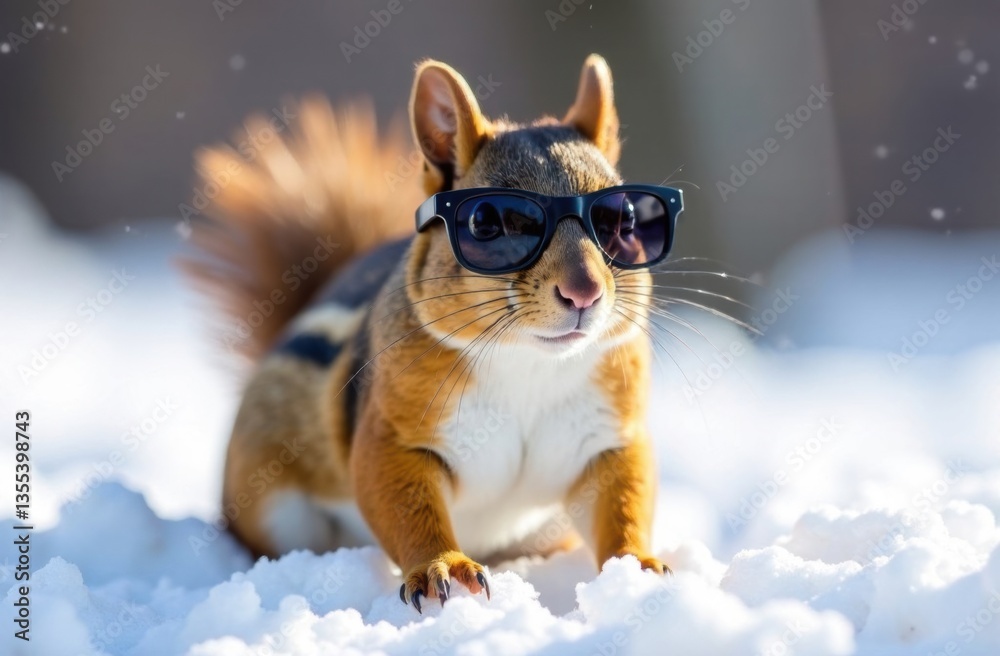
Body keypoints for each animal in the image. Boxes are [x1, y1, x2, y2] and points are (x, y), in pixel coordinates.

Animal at [184, 54, 674, 612]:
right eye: (486, 222)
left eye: (627, 218)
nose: (584, 291)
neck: (529, 364)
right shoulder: (393, 437)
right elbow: (405, 506)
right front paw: (445, 567)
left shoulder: (612, 439)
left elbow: (623, 502)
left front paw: (637, 567)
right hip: (270, 498)